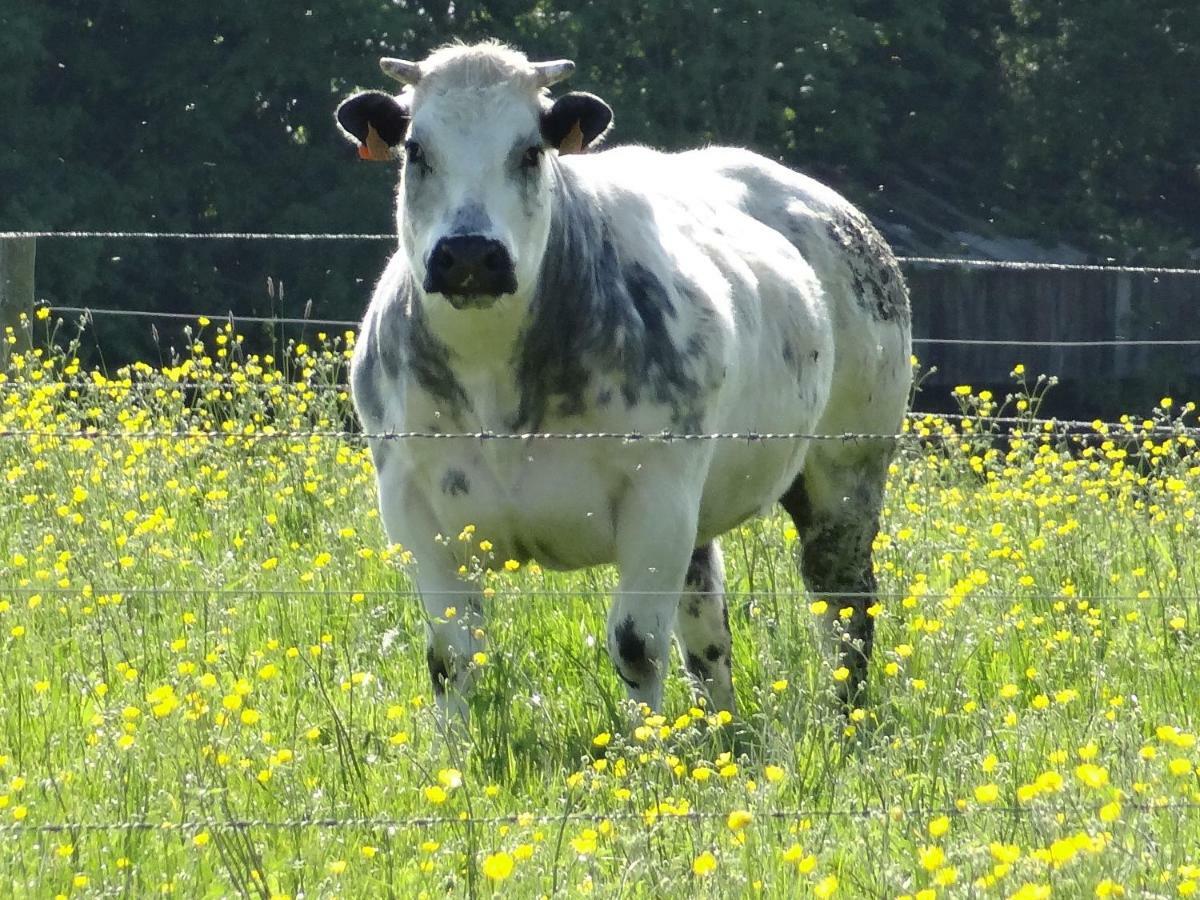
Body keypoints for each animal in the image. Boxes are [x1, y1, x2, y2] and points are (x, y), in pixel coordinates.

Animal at [333, 44, 912, 734]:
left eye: (531, 151)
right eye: (417, 149)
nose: (470, 254)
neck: (493, 375)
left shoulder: (656, 495)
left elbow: (637, 646)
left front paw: (644, 755)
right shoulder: (412, 502)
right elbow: (450, 656)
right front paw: (454, 757)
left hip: (847, 466)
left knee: (844, 602)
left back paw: (845, 720)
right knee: (706, 625)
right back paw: (721, 729)